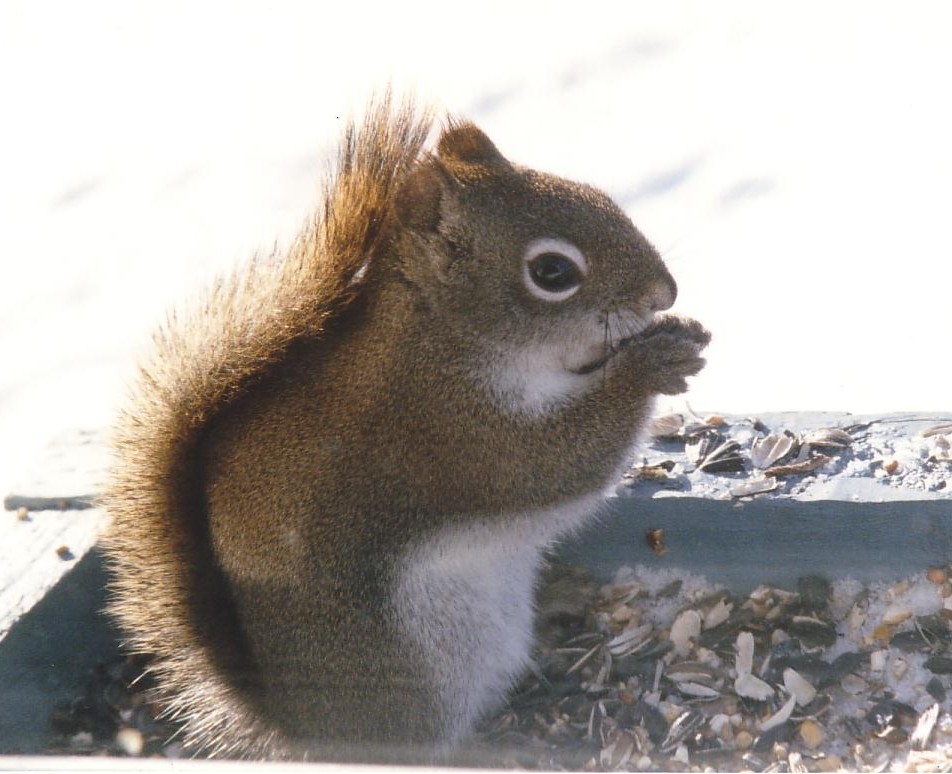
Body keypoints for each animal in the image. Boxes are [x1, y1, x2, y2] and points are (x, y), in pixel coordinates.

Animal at [102, 92, 708, 764]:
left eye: (595, 192)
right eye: (552, 272)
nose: (664, 292)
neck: (438, 330)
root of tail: (305, 727)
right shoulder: (446, 429)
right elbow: (558, 460)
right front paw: (651, 365)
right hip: (416, 668)